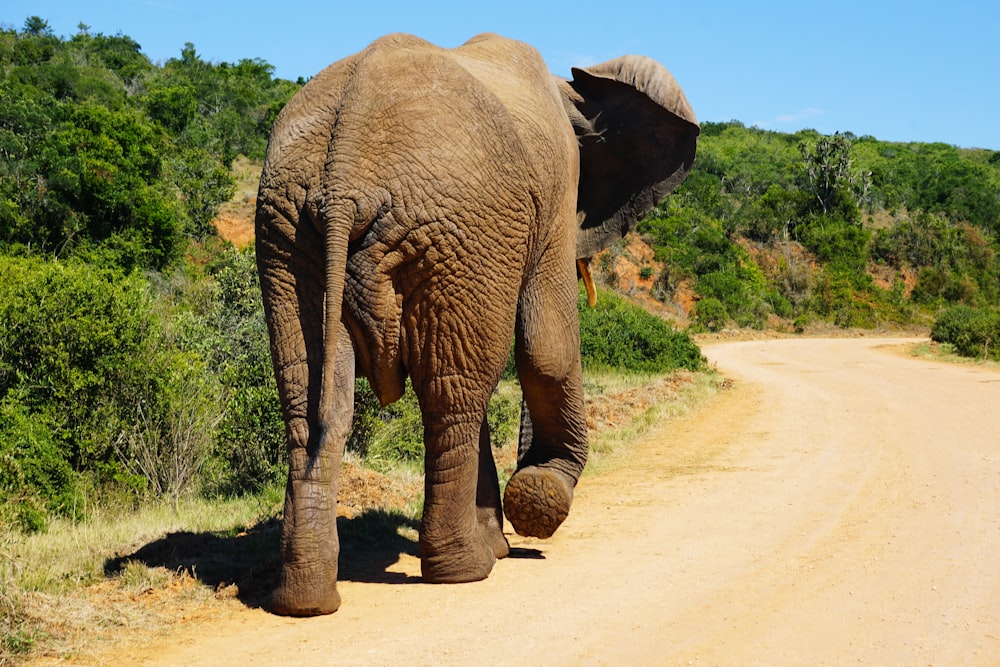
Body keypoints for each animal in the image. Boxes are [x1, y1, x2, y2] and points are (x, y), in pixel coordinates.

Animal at [254, 31, 700, 616]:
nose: (533, 474)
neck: (573, 94)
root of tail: (345, 170)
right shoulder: (553, 199)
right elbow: (547, 346)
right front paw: (535, 502)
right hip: (454, 232)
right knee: (452, 392)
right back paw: (465, 569)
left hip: (290, 232)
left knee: (314, 399)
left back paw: (304, 601)